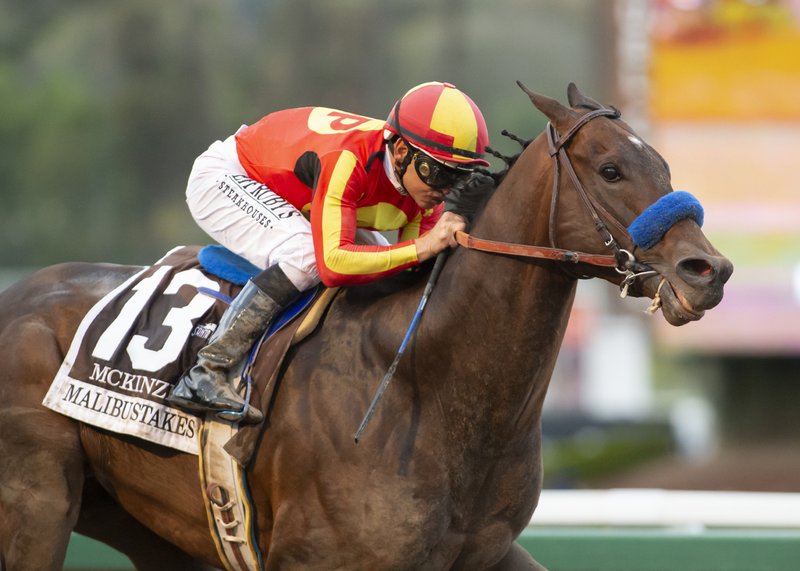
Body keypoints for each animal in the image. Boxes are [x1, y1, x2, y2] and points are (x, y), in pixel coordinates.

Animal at [0, 82, 732, 568]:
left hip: (150, 528)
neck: (425, 383)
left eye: (662, 165)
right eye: (611, 170)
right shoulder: (317, 557)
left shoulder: (488, 554)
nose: (710, 270)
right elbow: (325, 253)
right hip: (36, 507)